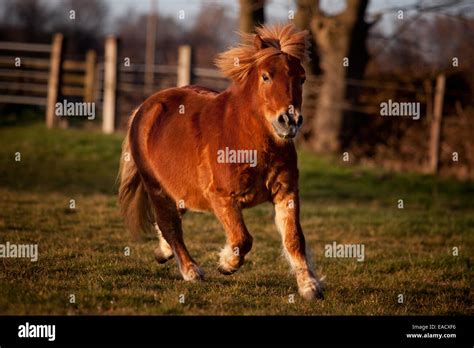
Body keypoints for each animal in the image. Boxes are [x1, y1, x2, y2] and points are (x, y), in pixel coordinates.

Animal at [118, 23, 326, 300]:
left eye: (301, 78)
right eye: (266, 77)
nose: (289, 121)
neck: (249, 140)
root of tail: (145, 107)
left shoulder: (286, 192)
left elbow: (294, 239)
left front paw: (310, 286)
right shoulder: (222, 197)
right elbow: (242, 238)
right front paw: (226, 263)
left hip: (179, 188)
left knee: (172, 220)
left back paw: (163, 252)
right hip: (156, 187)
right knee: (170, 224)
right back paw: (191, 271)